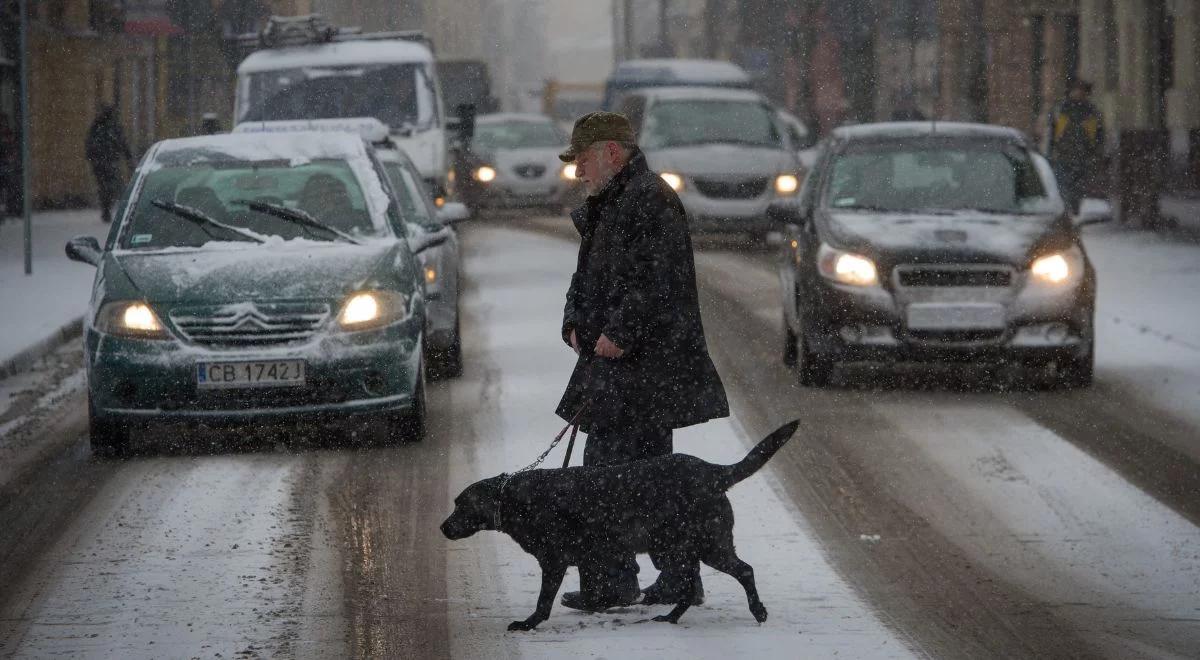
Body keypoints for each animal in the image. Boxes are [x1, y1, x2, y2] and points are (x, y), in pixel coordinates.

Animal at [441, 422, 796, 633]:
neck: (514, 499)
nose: (442, 528)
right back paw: (671, 617)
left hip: (709, 545)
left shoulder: (554, 562)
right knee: (689, 586)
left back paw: (758, 611)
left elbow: (543, 602)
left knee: (744, 570)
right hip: (676, 548)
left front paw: (529, 624)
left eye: (460, 505)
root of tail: (712, 472)